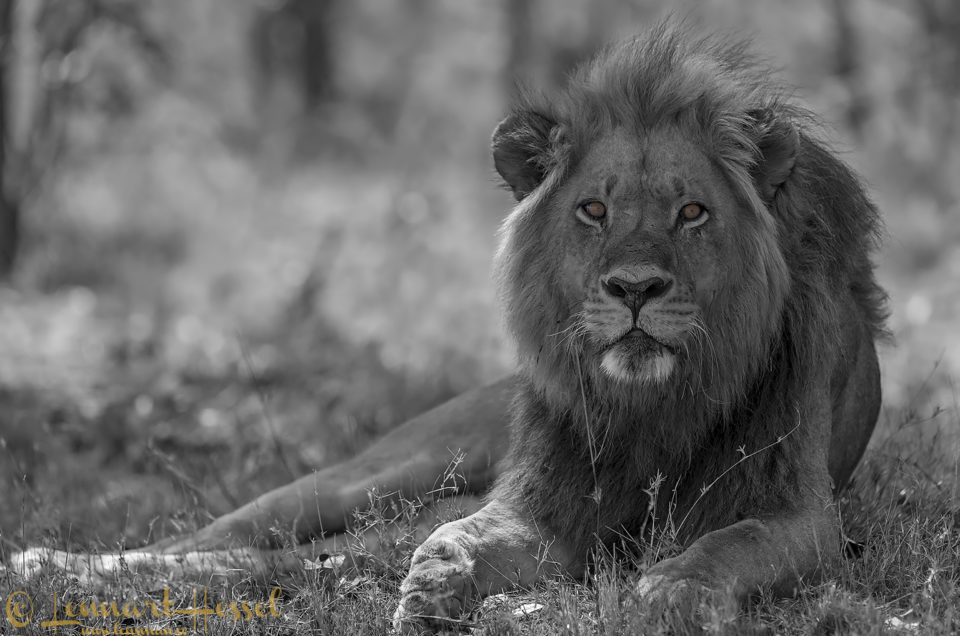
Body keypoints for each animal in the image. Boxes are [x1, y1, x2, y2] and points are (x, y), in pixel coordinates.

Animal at [392, 23, 886, 631]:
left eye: (692, 212)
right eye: (594, 210)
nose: (634, 288)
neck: (649, 407)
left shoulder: (802, 514)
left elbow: (730, 543)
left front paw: (673, 591)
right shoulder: (550, 507)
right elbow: (459, 532)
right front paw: (430, 589)